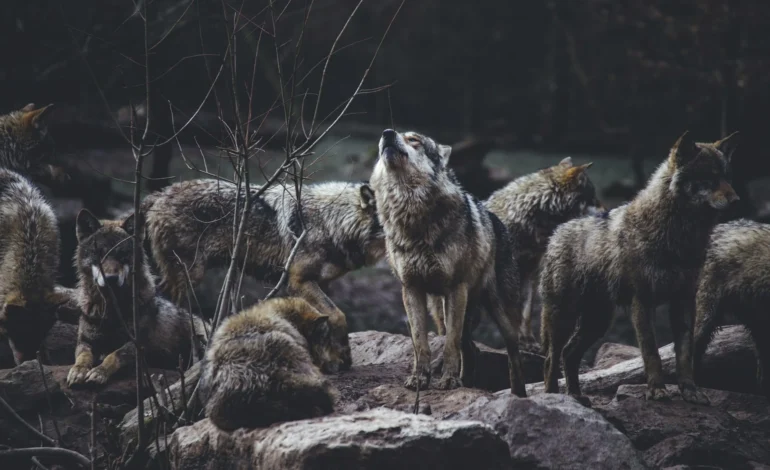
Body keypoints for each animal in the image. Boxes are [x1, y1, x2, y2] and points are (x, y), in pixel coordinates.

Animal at [66, 209, 208, 387]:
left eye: (123, 255)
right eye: (99, 254)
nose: (111, 278)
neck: (112, 310)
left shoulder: (138, 344)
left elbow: (113, 355)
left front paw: (99, 372)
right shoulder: (85, 341)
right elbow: (83, 356)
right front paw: (78, 371)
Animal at [142, 179, 385, 371]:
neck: (331, 221)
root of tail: (159, 194)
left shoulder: (320, 283)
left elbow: (325, 322)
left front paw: (334, 359)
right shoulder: (299, 281)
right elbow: (338, 315)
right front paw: (343, 356)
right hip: (189, 276)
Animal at [369, 128, 526, 395]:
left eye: (414, 139)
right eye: (391, 134)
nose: (387, 133)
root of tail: (497, 220)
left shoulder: (456, 288)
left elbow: (450, 345)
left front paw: (449, 380)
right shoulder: (411, 289)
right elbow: (420, 343)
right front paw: (420, 379)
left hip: (499, 313)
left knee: (512, 353)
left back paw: (518, 394)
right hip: (443, 310)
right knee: (471, 348)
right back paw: (469, 383)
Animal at [540, 131, 740, 405]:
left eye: (727, 177)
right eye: (709, 177)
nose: (736, 200)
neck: (678, 236)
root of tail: (557, 231)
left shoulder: (684, 301)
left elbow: (685, 354)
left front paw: (690, 391)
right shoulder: (642, 302)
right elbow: (651, 352)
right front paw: (657, 391)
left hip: (597, 322)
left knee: (569, 354)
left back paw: (576, 397)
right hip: (565, 317)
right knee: (552, 357)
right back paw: (554, 398)